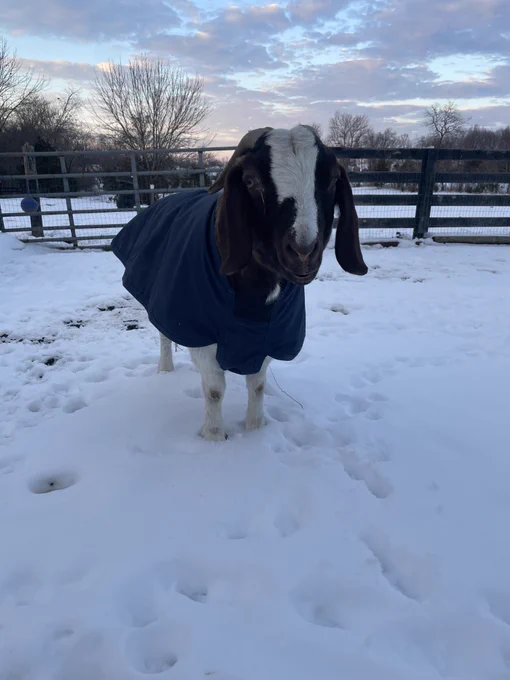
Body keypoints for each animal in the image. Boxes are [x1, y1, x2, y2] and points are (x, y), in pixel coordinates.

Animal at [111, 125, 367, 440]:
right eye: (250, 181)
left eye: (332, 179)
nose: (303, 251)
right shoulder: (199, 329)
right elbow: (214, 390)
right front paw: (214, 437)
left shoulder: (271, 336)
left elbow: (257, 385)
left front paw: (255, 430)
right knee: (163, 335)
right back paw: (165, 370)